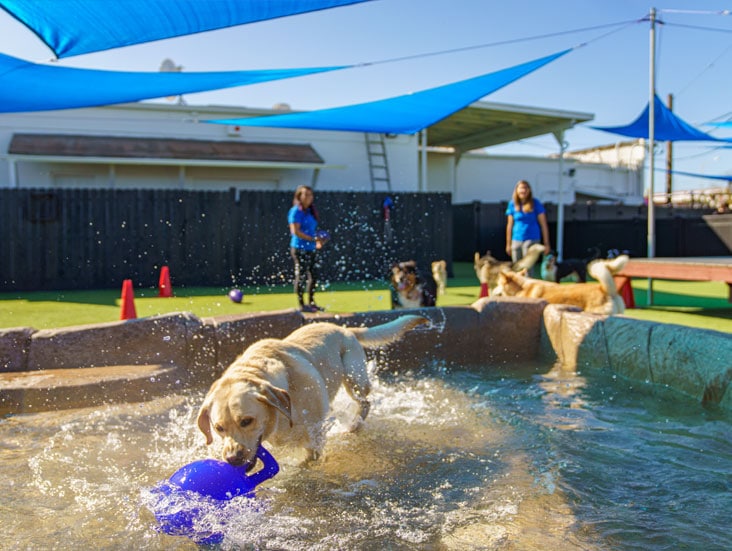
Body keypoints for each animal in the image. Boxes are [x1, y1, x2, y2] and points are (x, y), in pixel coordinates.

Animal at [197, 316, 432, 468]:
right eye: (218, 428)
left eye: (246, 421)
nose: (232, 459)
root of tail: (345, 329)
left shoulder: (315, 435)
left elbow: (308, 459)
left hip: (354, 378)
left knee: (365, 403)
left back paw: (353, 425)